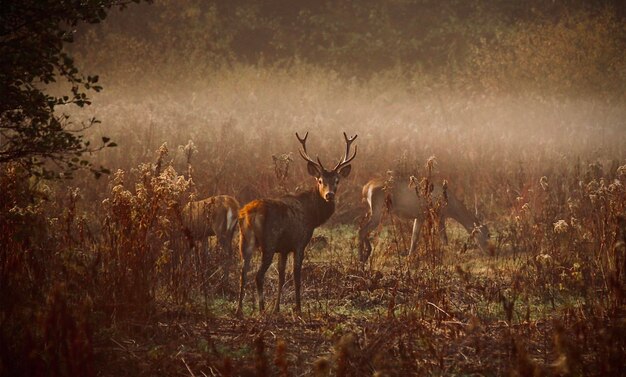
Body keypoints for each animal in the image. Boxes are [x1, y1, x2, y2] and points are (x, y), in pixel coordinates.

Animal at [235, 131, 356, 314]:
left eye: (337, 181)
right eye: (320, 180)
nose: (329, 195)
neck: (312, 216)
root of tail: (249, 214)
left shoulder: (284, 248)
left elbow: (281, 275)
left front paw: (277, 308)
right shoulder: (299, 242)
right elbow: (296, 275)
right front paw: (298, 308)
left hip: (245, 241)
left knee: (242, 273)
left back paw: (240, 310)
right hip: (269, 242)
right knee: (258, 275)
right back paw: (262, 309)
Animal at [356, 177, 488, 262]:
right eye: (486, 234)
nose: (489, 252)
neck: (450, 204)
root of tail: (366, 187)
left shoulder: (420, 217)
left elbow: (414, 238)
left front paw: (409, 258)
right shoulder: (437, 215)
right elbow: (444, 238)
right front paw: (449, 255)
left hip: (373, 211)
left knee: (361, 227)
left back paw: (365, 255)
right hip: (380, 212)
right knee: (362, 230)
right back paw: (362, 258)